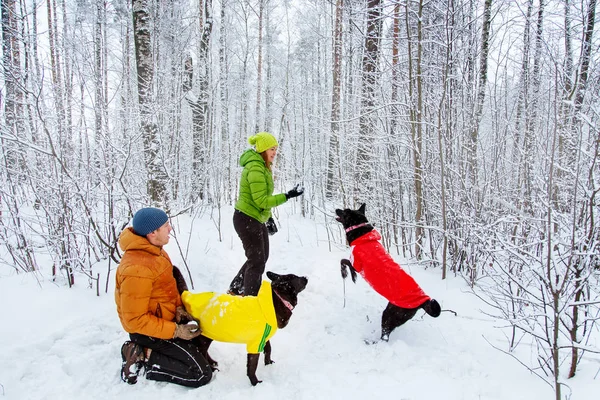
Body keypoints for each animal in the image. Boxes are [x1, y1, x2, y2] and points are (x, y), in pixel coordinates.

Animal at [180, 270, 308, 386]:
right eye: (294, 277)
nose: (306, 277)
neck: (275, 301)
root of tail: (189, 297)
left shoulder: (264, 337)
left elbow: (268, 350)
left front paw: (268, 364)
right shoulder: (255, 344)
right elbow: (252, 366)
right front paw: (255, 383)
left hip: (208, 335)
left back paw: (213, 363)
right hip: (204, 336)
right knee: (201, 351)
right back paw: (211, 368)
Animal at [332, 205, 440, 342]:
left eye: (345, 211)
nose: (336, 209)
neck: (362, 235)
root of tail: (424, 301)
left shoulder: (357, 264)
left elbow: (343, 261)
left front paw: (348, 275)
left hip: (390, 314)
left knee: (385, 335)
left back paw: (372, 342)